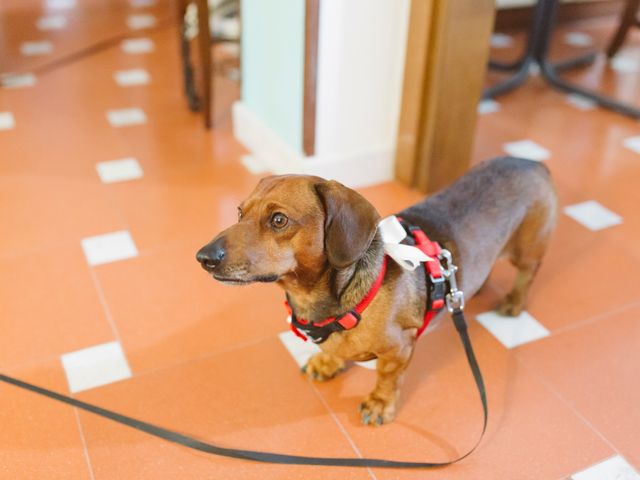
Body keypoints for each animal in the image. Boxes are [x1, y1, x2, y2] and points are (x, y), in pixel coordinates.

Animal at [198, 157, 556, 424]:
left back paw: (514, 302)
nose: (204, 257)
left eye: (278, 220)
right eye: (240, 212)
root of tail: (532, 163)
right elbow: (333, 351)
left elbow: (387, 378)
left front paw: (379, 404)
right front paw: (327, 362)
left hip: (527, 251)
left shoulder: (399, 348)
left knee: (529, 272)